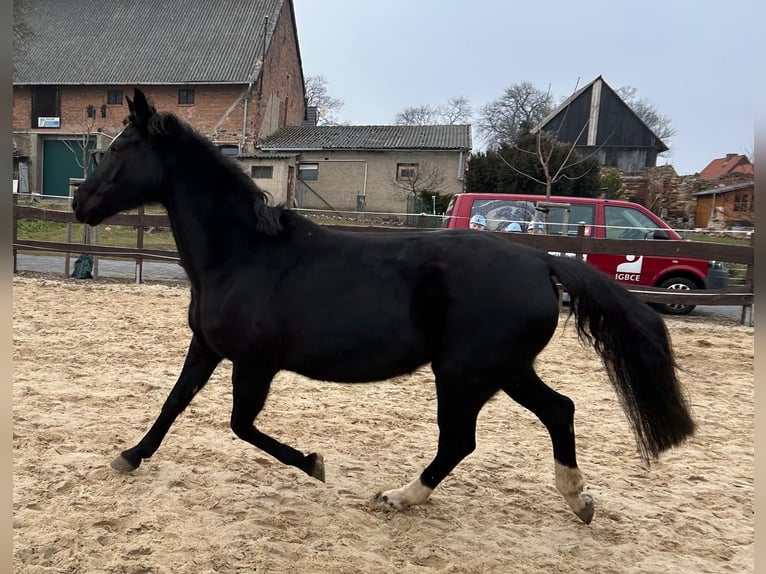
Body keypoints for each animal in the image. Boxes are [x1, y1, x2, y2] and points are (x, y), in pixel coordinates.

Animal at [73, 90, 696, 528]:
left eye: (122, 149)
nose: (80, 202)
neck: (243, 253)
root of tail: (540, 261)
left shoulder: (254, 363)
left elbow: (240, 425)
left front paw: (315, 464)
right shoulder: (207, 347)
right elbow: (173, 403)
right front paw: (129, 456)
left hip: (464, 373)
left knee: (460, 441)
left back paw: (400, 496)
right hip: (505, 370)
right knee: (559, 410)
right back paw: (577, 500)